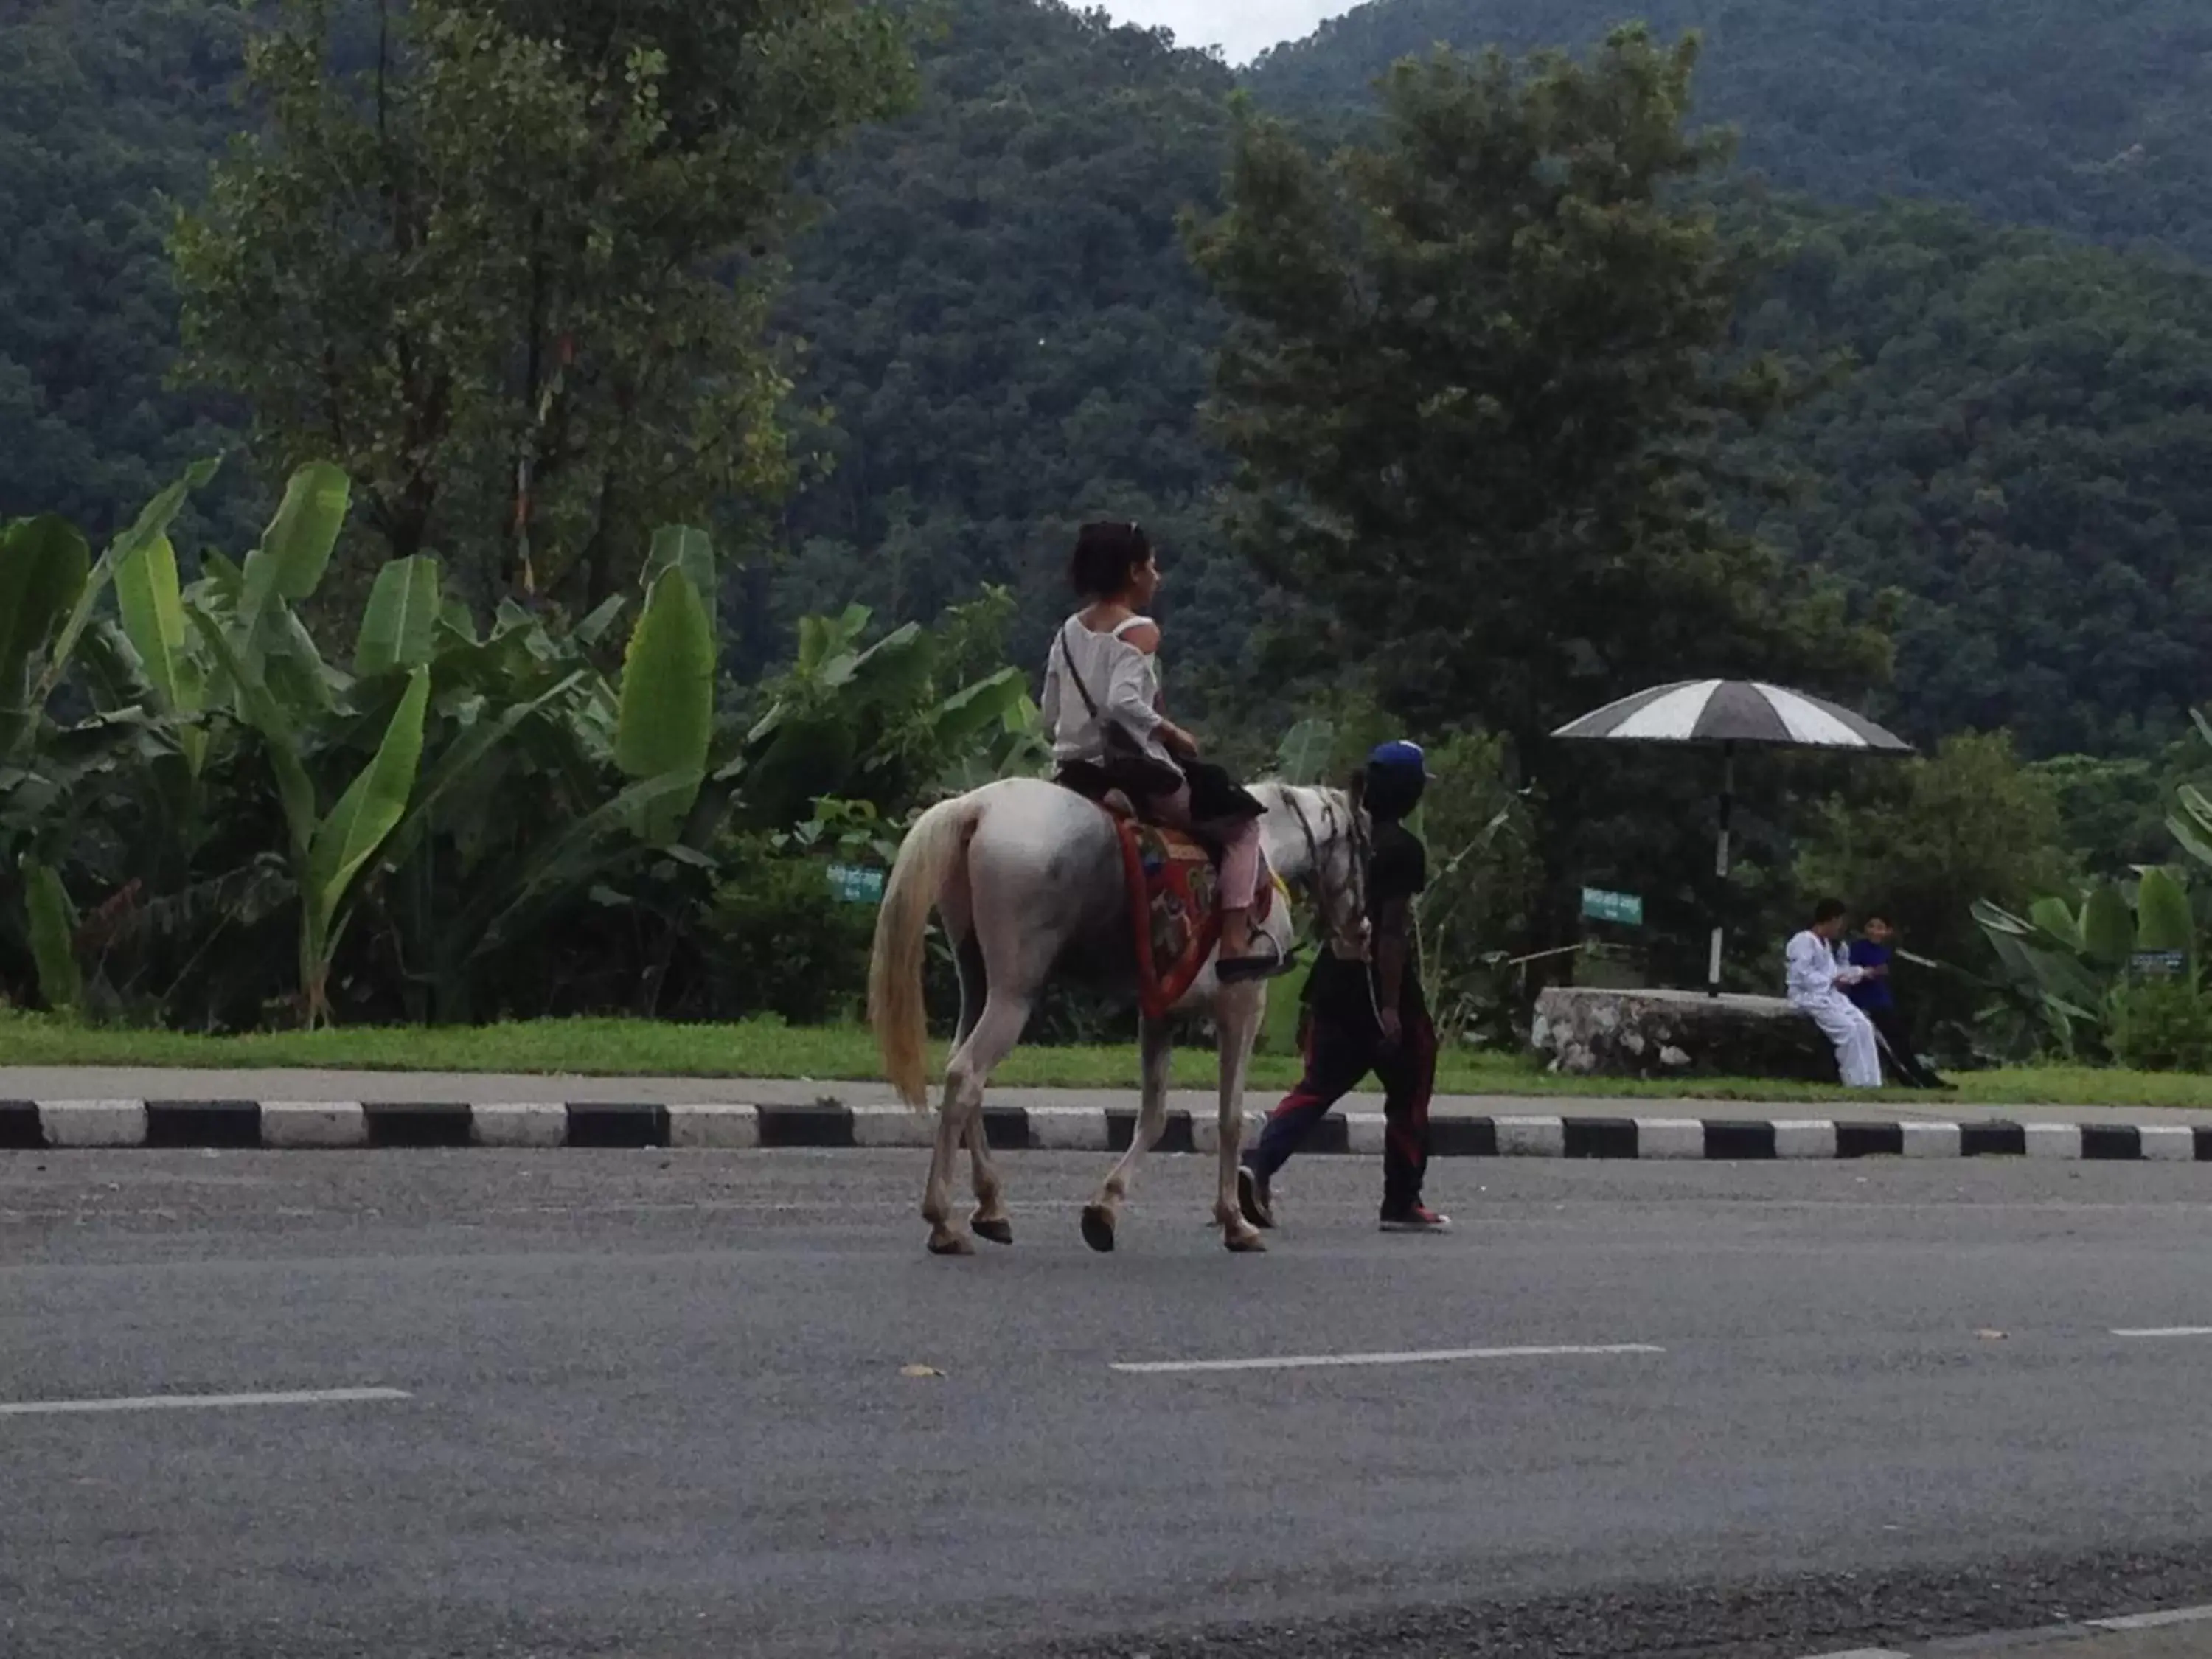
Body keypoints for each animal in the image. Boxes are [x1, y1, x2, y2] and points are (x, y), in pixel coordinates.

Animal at [863, 779, 1363, 1256]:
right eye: (1363, 846)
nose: (1361, 928)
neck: (1270, 847)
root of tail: (978, 806)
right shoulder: (1243, 1006)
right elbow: (1230, 1118)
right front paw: (1235, 1222)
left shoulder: (1160, 1012)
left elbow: (1155, 1116)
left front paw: (1104, 1211)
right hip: (1014, 993)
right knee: (966, 1075)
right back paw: (943, 1221)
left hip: (978, 979)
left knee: (963, 1074)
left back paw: (990, 1207)